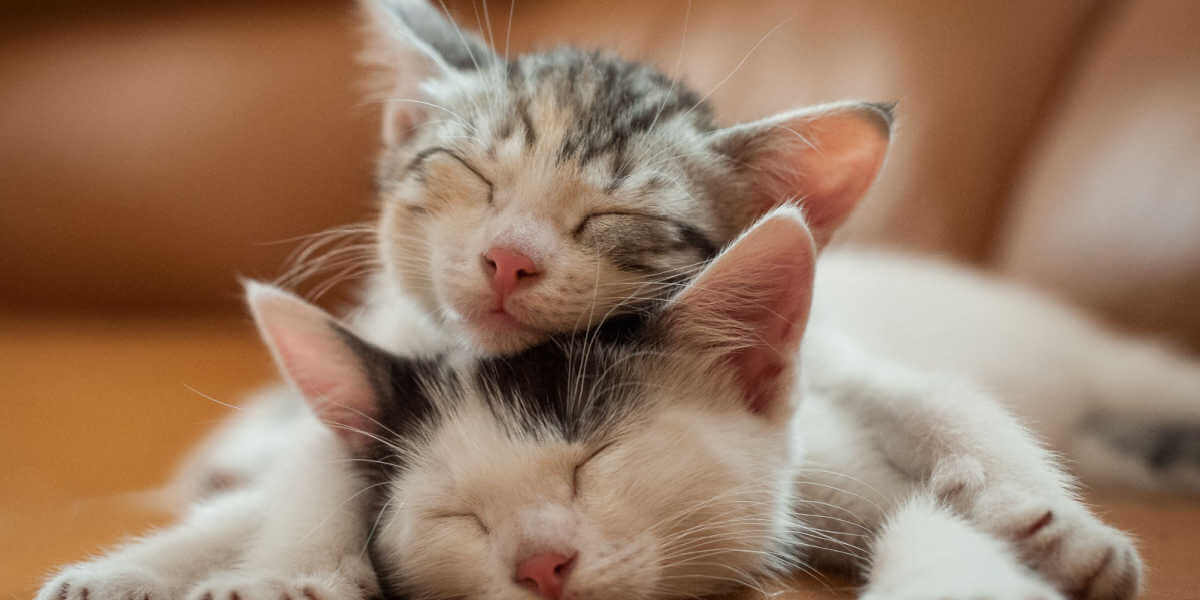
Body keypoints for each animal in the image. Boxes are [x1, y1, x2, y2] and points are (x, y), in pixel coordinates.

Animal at [39, 207, 1142, 600]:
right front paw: (139, 575)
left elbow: (939, 500)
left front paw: (1042, 534)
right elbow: (278, 498)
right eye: (457, 515)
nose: (540, 565)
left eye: (593, 462)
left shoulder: (838, 443)